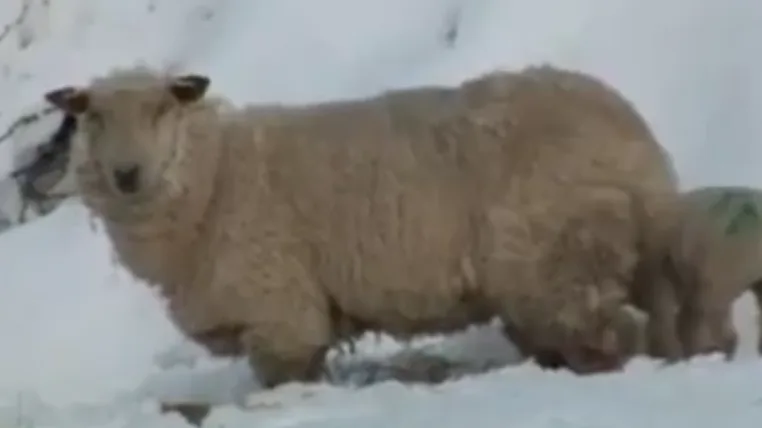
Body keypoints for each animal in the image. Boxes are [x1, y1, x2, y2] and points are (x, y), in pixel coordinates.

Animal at [42, 63, 679, 388]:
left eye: (161, 109)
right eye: (92, 117)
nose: (126, 174)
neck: (215, 176)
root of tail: (642, 145)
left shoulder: (281, 311)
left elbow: (286, 376)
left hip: (559, 255)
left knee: (608, 331)